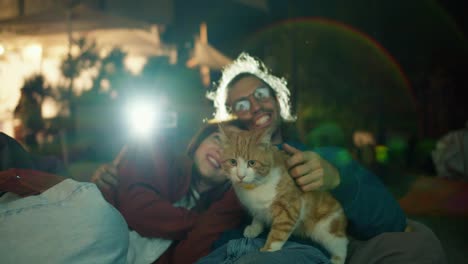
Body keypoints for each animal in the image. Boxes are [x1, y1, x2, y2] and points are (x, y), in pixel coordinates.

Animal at [219, 127, 348, 262]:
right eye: (233, 162)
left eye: (252, 163)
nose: (240, 176)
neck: (255, 186)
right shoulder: (258, 207)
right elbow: (258, 217)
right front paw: (254, 228)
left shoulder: (289, 208)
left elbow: (279, 231)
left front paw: (268, 250)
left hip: (327, 228)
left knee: (341, 244)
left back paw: (337, 259)